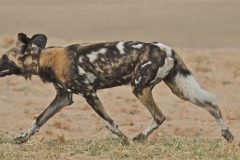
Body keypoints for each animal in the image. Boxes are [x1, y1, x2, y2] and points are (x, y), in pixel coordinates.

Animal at [0, 33, 233, 144]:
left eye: (3, 57)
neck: (44, 58)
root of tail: (167, 48)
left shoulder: (89, 93)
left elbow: (109, 123)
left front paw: (125, 141)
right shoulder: (63, 97)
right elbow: (38, 119)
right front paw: (21, 139)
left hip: (139, 88)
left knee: (160, 116)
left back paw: (138, 138)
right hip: (179, 89)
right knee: (212, 106)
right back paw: (227, 135)